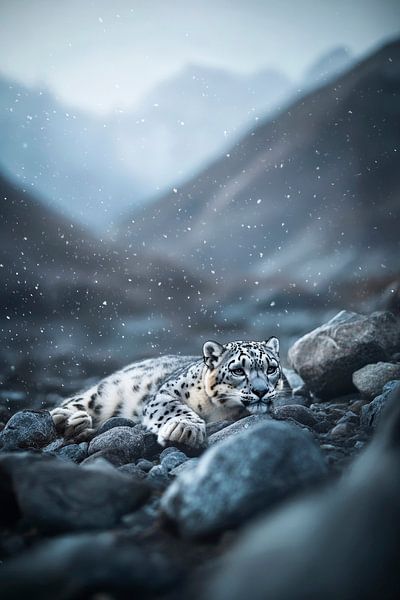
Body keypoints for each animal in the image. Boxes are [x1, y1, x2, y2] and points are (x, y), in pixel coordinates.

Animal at [50, 338, 288, 446]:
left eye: (271, 368)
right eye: (238, 370)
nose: (261, 390)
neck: (218, 410)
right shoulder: (165, 393)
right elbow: (172, 408)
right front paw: (184, 429)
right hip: (98, 395)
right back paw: (68, 418)